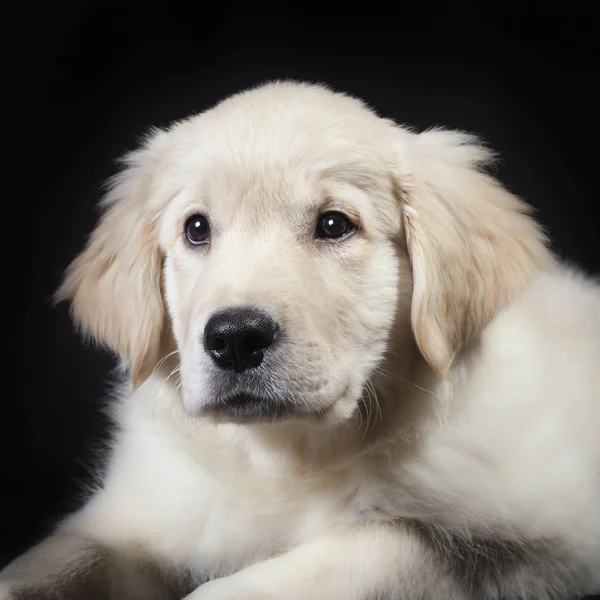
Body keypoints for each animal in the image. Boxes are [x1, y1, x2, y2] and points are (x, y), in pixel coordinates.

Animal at [4, 81, 600, 600]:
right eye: (196, 229)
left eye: (334, 225)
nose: (235, 339)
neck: (286, 459)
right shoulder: (139, 516)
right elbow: (63, 557)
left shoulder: (537, 550)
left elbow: (388, 540)